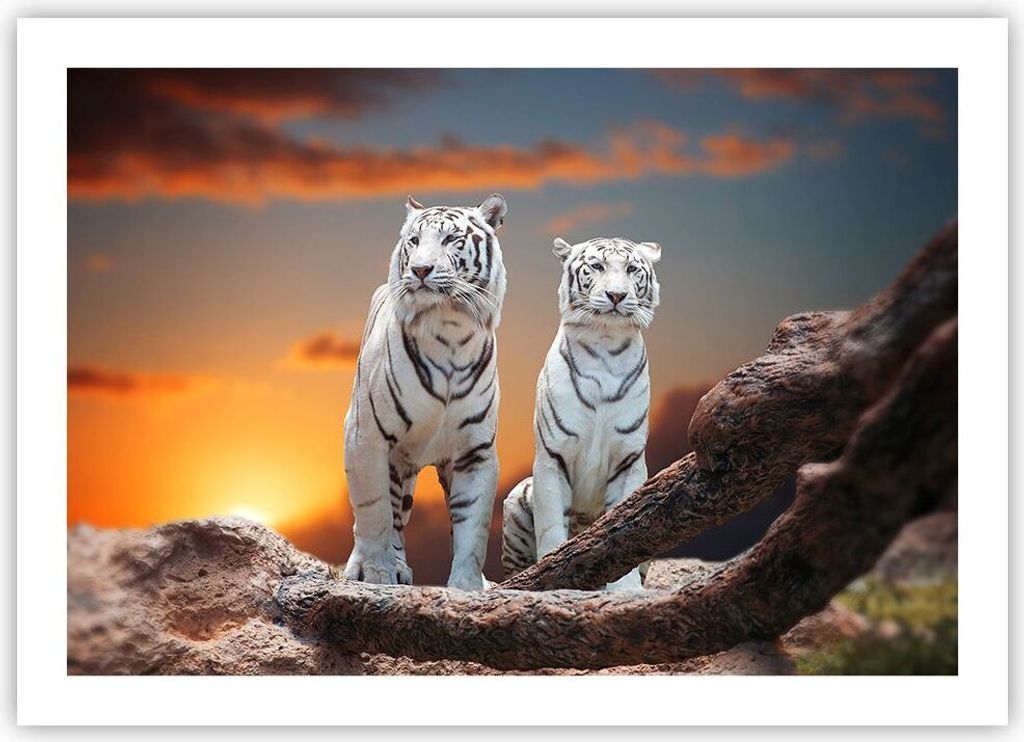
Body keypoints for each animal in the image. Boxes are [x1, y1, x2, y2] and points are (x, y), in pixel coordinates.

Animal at [342, 194, 508, 590]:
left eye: (451, 239)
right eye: (414, 241)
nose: (419, 270)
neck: (449, 327)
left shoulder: (475, 450)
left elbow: (473, 528)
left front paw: (467, 587)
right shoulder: (364, 436)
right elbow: (373, 516)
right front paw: (377, 577)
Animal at [501, 235, 662, 590]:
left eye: (632, 269)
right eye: (597, 266)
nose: (616, 295)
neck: (606, 343)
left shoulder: (628, 459)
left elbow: (626, 527)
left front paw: (626, 589)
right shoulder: (552, 456)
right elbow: (551, 528)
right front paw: (552, 577)